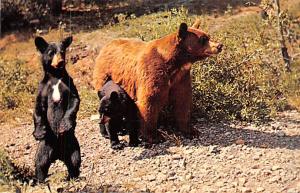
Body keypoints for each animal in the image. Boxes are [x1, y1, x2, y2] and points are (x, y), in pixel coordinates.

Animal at [93, 20, 223, 143]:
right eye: (203, 39)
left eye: (208, 36)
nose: (219, 45)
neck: (173, 63)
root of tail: (105, 46)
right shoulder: (152, 72)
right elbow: (150, 101)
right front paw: (154, 136)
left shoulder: (181, 77)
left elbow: (182, 100)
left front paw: (190, 130)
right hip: (104, 76)